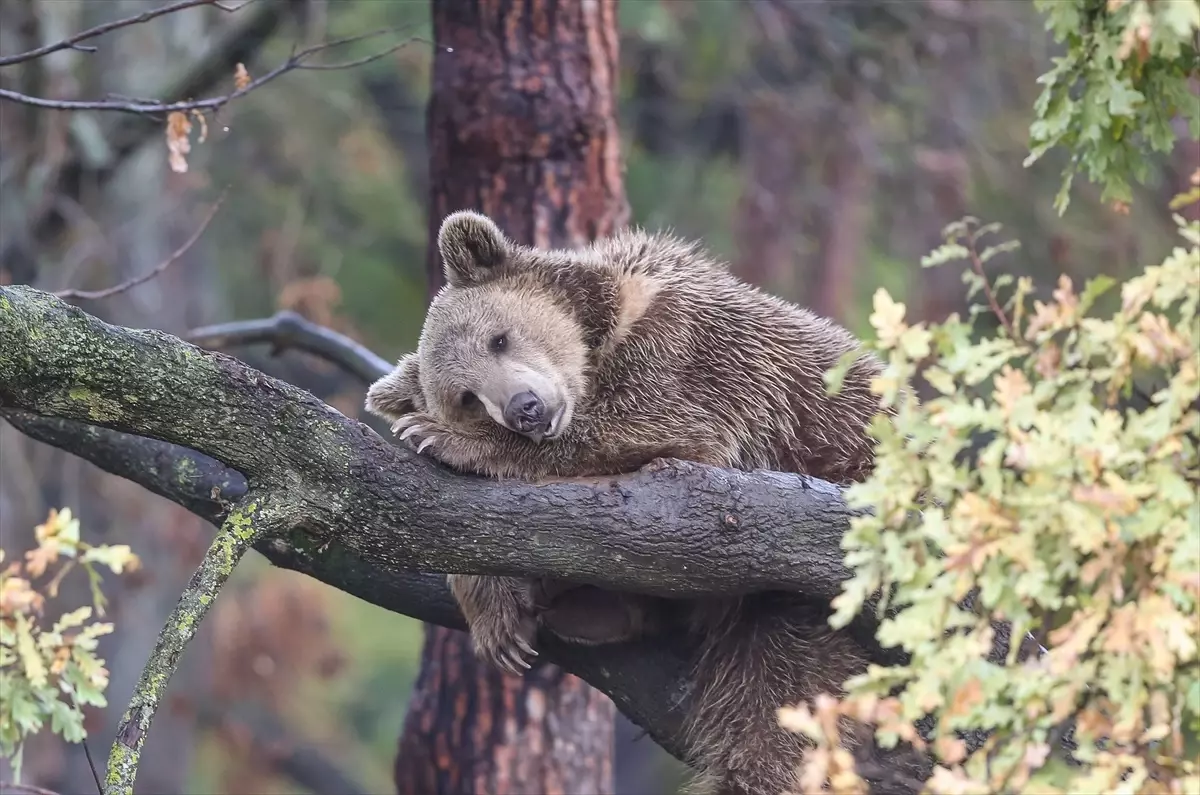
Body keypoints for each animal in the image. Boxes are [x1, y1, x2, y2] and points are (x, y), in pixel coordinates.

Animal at [369, 210, 897, 795]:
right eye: (465, 397)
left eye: (498, 338)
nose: (525, 409)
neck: (601, 337)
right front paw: (499, 616)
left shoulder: (694, 355)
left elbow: (644, 428)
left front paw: (439, 437)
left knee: (778, 686)